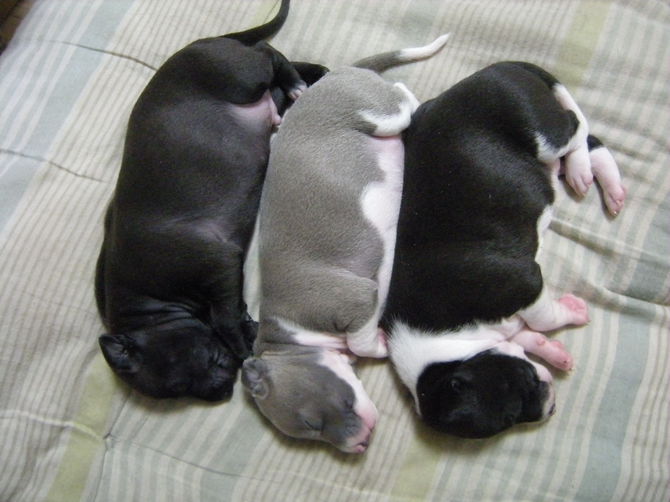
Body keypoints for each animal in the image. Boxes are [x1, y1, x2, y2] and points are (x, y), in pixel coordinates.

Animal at [95, 0, 327, 401]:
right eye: (176, 392)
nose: (219, 393)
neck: (152, 304)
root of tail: (201, 43)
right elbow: (232, 311)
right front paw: (247, 329)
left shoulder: (218, 262)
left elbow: (223, 317)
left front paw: (240, 342)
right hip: (255, 87)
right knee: (276, 69)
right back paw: (311, 74)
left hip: (238, 76)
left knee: (265, 53)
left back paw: (298, 80)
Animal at [241, 35, 449, 453]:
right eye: (310, 433)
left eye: (311, 422)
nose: (359, 445)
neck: (294, 333)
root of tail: (336, 74)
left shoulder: (358, 300)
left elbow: (361, 342)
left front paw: (380, 345)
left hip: (376, 112)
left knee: (401, 98)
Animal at [382, 61, 626, 438]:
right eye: (509, 420)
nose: (550, 409)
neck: (450, 348)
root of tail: (499, 67)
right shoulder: (506, 328)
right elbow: (530, 336)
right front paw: (556, 353)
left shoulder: (524, 283)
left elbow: (544, 318)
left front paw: (571, 312)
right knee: (588, 139)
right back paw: (603, 186)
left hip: (538, 129)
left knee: (576, 125)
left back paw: (581, 171)